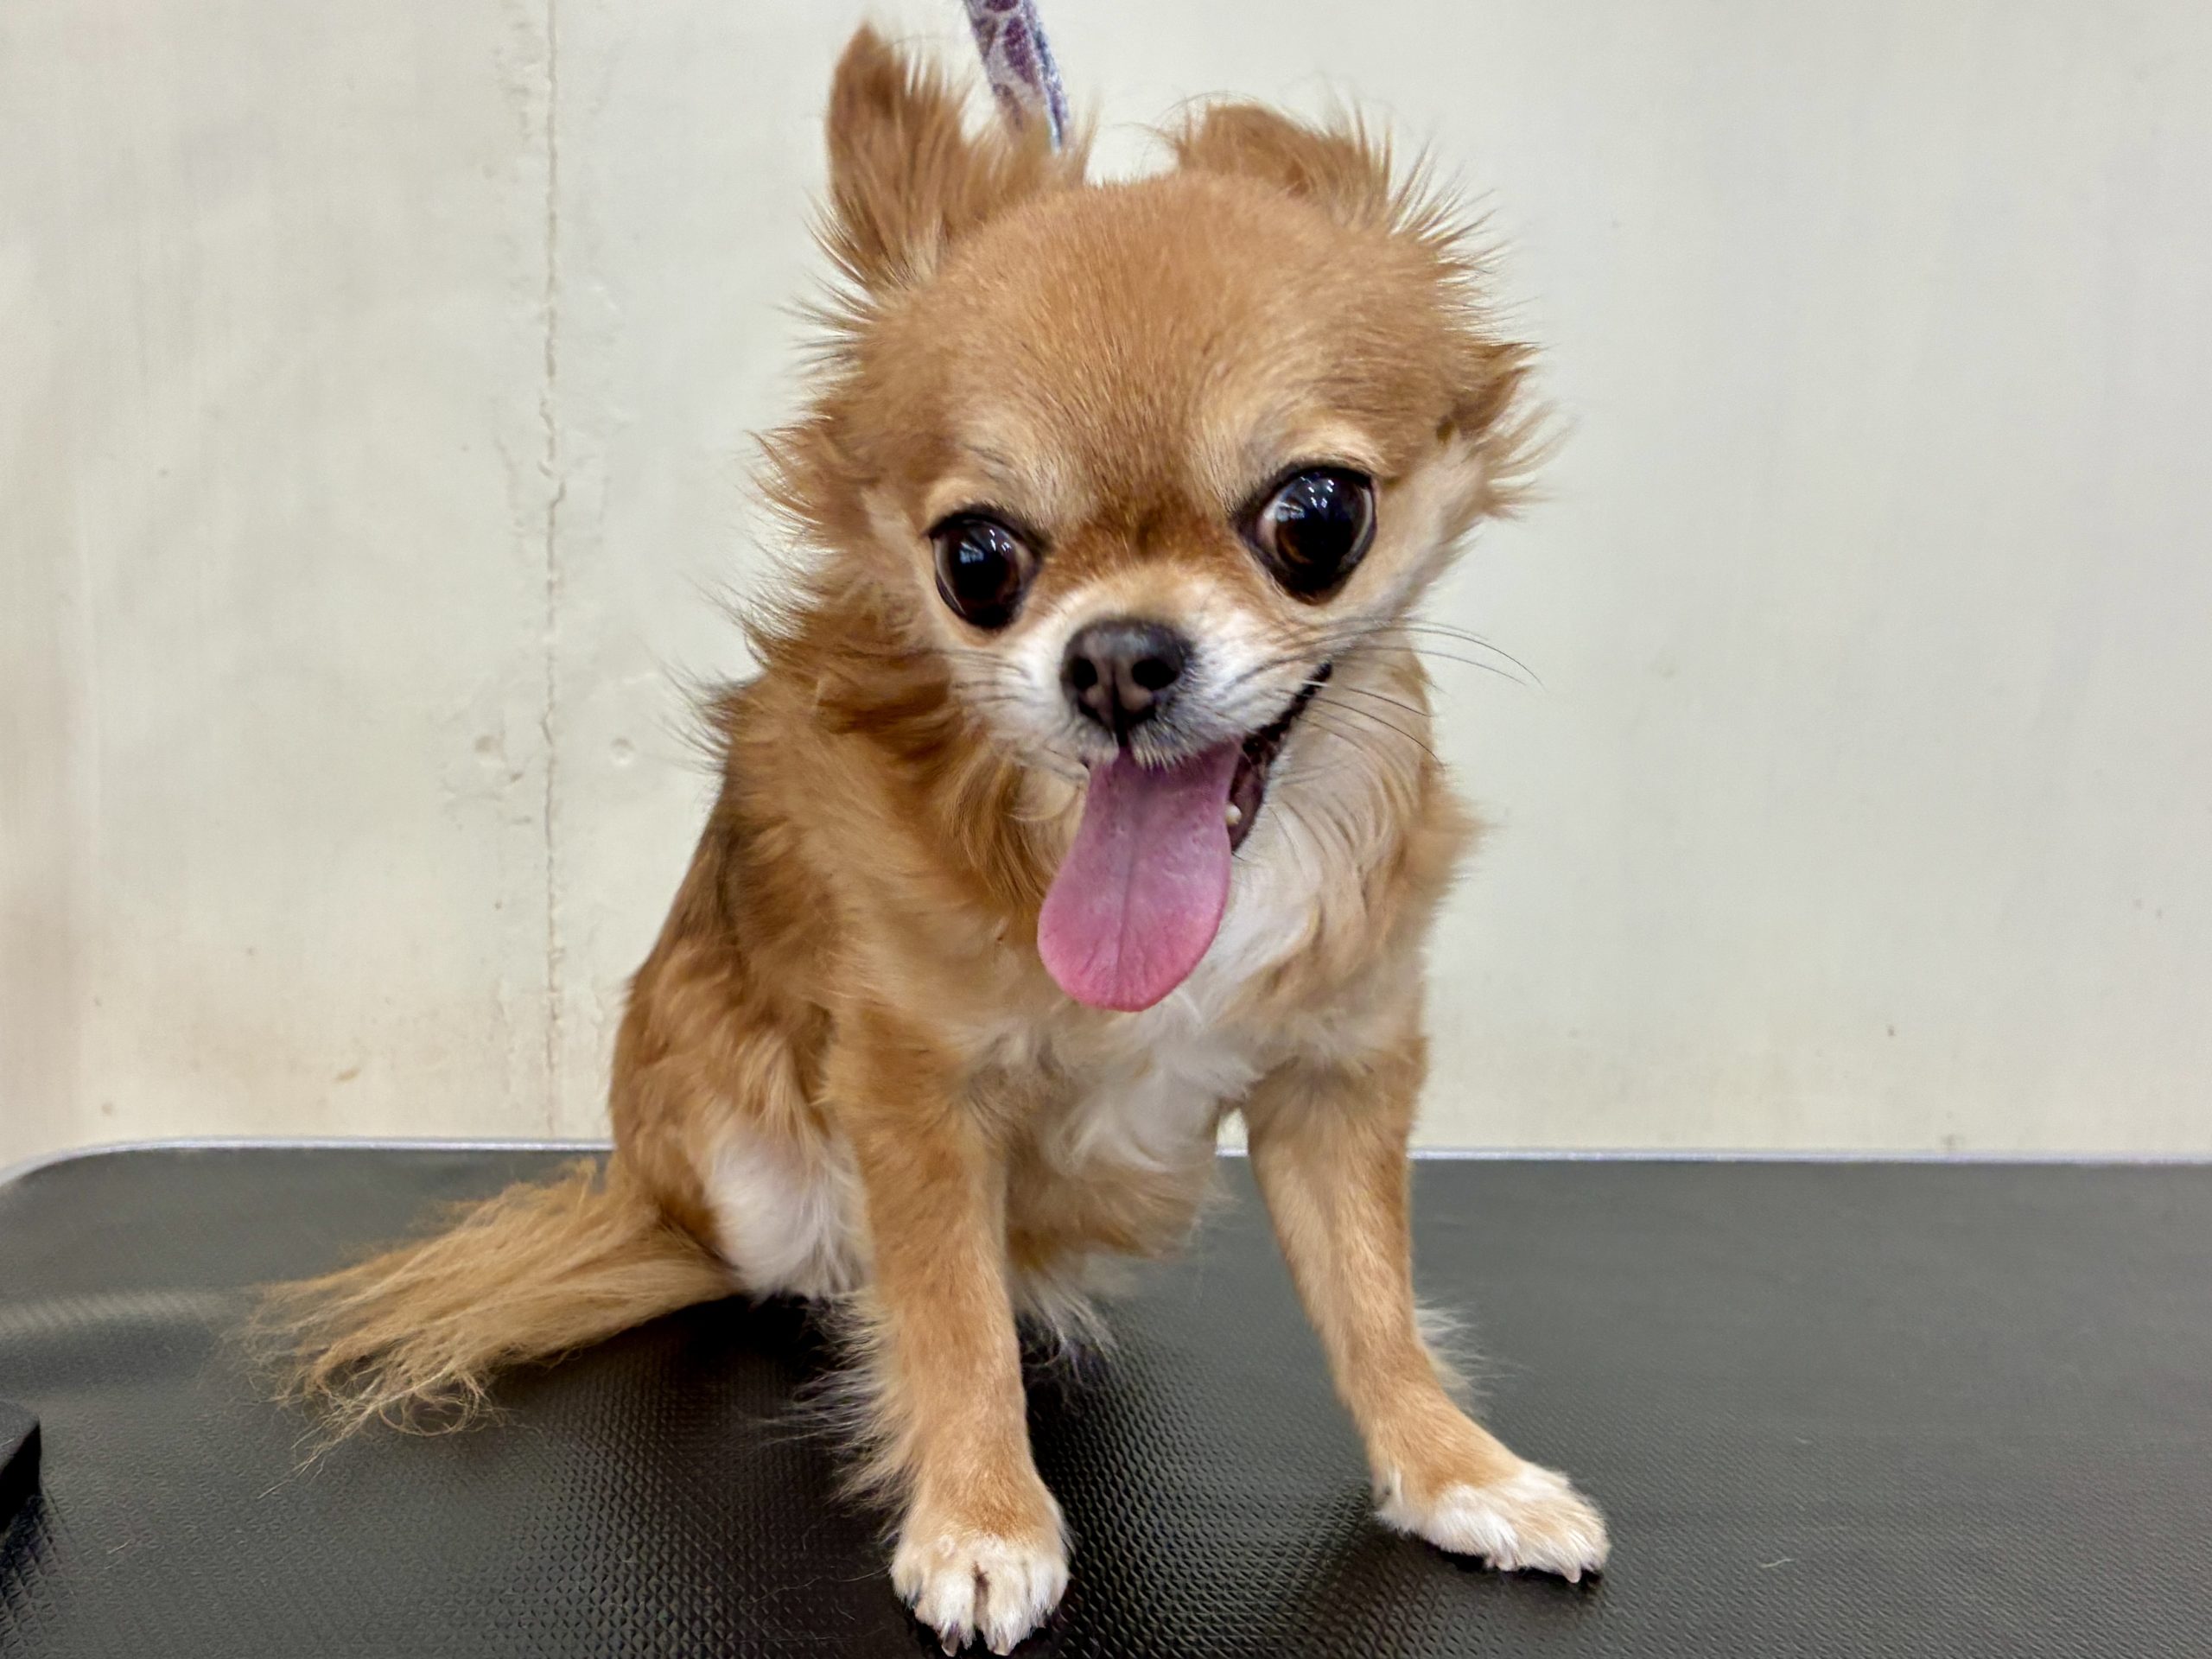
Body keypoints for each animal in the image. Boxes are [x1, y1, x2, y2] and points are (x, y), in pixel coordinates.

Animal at [266, 26, 1608, 1653]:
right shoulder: (912, 1091)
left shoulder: (1339, 1077)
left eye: (1316, 519)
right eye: (979, 559)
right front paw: (980, 1518)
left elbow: (1374, 1295)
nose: (1118, 660)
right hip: (747, 1176)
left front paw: (1455, 1470)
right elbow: (947, 1313)